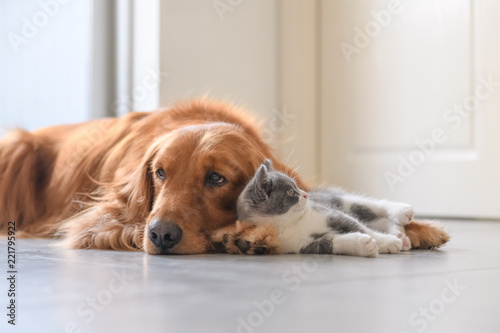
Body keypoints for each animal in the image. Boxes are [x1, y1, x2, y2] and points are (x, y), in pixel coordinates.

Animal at [238, 160, 414, 255]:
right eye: (290, 191)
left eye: (296, 186)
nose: (305, 195)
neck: (290, 223)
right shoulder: (299, 244)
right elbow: (328, 244)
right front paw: (363, 244)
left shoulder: (329, 214)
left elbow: (358, 226)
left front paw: (387, 242)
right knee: (377, 220)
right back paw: (400, 236)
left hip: (337, 200)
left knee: (372, 206)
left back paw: (402, 213)